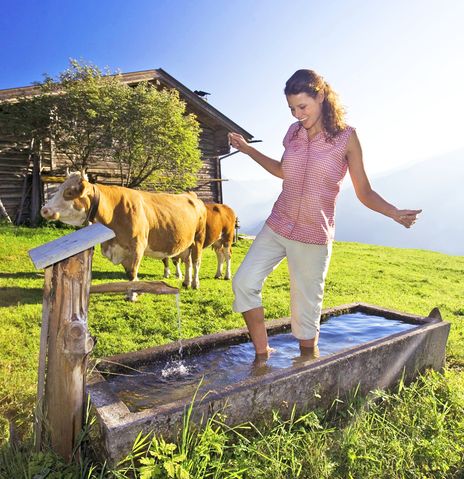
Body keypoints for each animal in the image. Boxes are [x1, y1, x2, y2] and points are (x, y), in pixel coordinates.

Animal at [40, 171, 207, 298]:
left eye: (69, 192)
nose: (44, 210)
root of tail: (191, 195)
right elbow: (128, 274)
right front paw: (134, 291)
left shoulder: (137, 246)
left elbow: (132, 272)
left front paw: (133, 296)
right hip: (186, 243)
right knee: (187, 262)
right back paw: (186, 282)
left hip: (198, 239)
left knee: (196, 262)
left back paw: (195, 284)